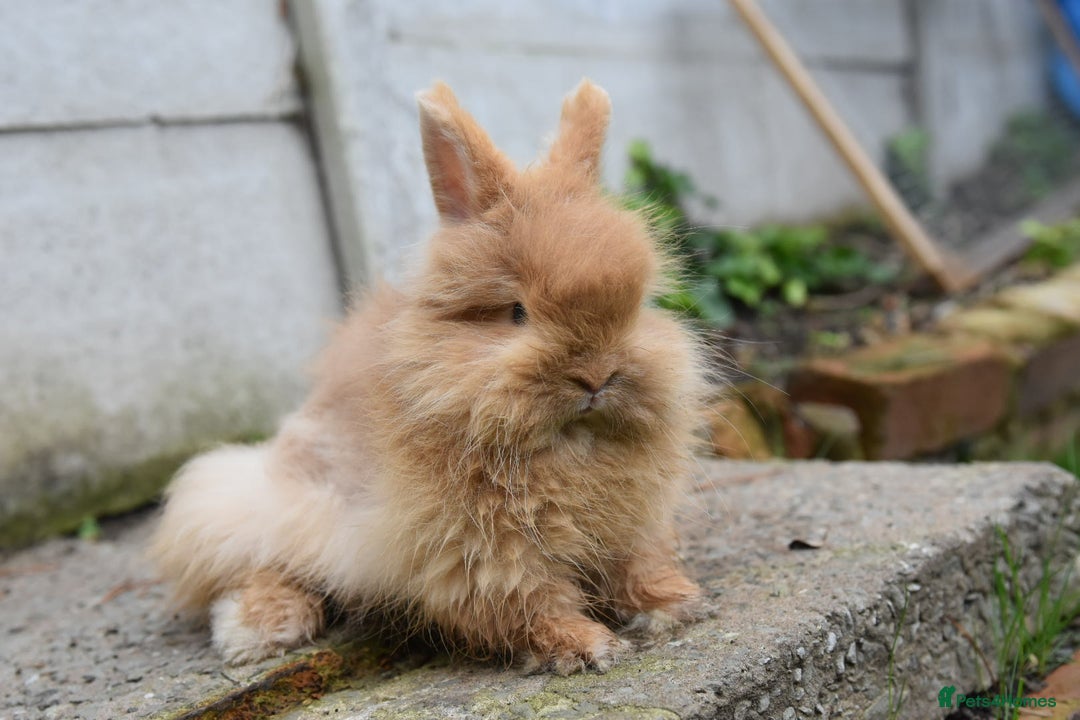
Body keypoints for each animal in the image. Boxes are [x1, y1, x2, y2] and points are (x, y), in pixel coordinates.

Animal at [149, 79, 710, 675]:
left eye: (634, 307)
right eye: (517, 313)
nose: (596, 375)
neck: (568, 446)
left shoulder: (635, 526)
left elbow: (638, 566)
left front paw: (676, 604)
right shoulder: (482, 555)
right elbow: (532, 604)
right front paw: (586, 648)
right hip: (282, 507)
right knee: (257, 561)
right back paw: (255, 631)